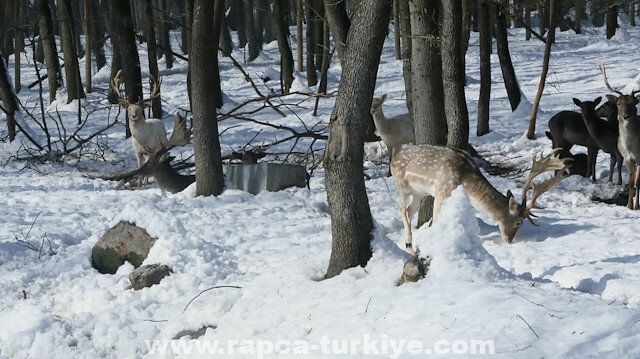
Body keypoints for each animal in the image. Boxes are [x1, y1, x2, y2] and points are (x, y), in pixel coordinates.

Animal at [390, 145, 568, 255]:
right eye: (519, 222)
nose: (510, 240)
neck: (465, 178)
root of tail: (393, 160)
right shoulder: (441, 191)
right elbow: (435, 220)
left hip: (419, 193)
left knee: (409, 211)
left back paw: (410, 246)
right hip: (401, 185)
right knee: (401, 208)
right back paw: (409, 246)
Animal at [600, 60, 640, 210]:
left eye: (634, 103)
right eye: (618, 103)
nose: (625, 116)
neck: (632, 147)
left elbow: (638, 182)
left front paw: (636, 206)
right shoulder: (628, 158)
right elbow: (631, 182)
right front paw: (629, 206)